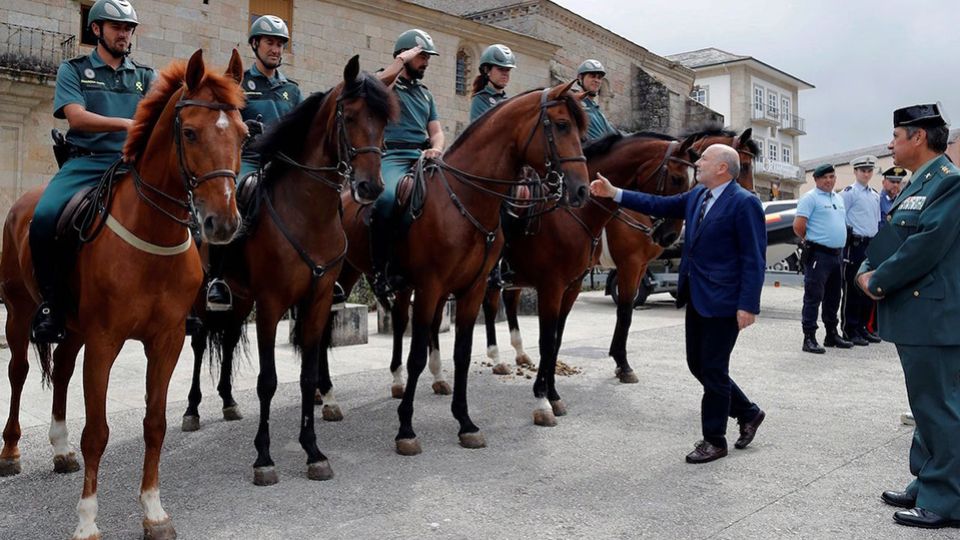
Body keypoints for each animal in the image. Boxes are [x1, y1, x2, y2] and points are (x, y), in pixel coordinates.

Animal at [1, 49, 248, 540]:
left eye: (245, 134)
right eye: (189, 132)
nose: (223, 223)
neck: (151, 234)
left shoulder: (166, 341)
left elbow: (155, 423)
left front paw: (153, 511)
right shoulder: (105, 340)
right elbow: (96, 432)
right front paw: (87, 521)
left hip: (72, 327)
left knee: (61, 373)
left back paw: (59, 449)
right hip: (18, 312)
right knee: (19, 373)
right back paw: (11, 452)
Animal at [180, 56, 394, 486]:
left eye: (384, 121)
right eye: (349, 115)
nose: (370, 187)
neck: (309, 213)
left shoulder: (317, 301)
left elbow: (307, 376)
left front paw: (313, 450)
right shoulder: (272, 304)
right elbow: (268, 381)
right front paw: (264, 457)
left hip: (239, 299)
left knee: (229, 339)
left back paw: (228, 401)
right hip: (205, 299)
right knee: (199, 345)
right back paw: (193, 409)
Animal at [326, 83, 588, 456]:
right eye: (563, 125)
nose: (581, 189)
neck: (464, 200)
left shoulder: (473, 288)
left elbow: (462, 354)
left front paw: (465, 422)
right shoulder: (431, 287)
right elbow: (417, 355)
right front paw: (406, 429)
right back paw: (327, 397)